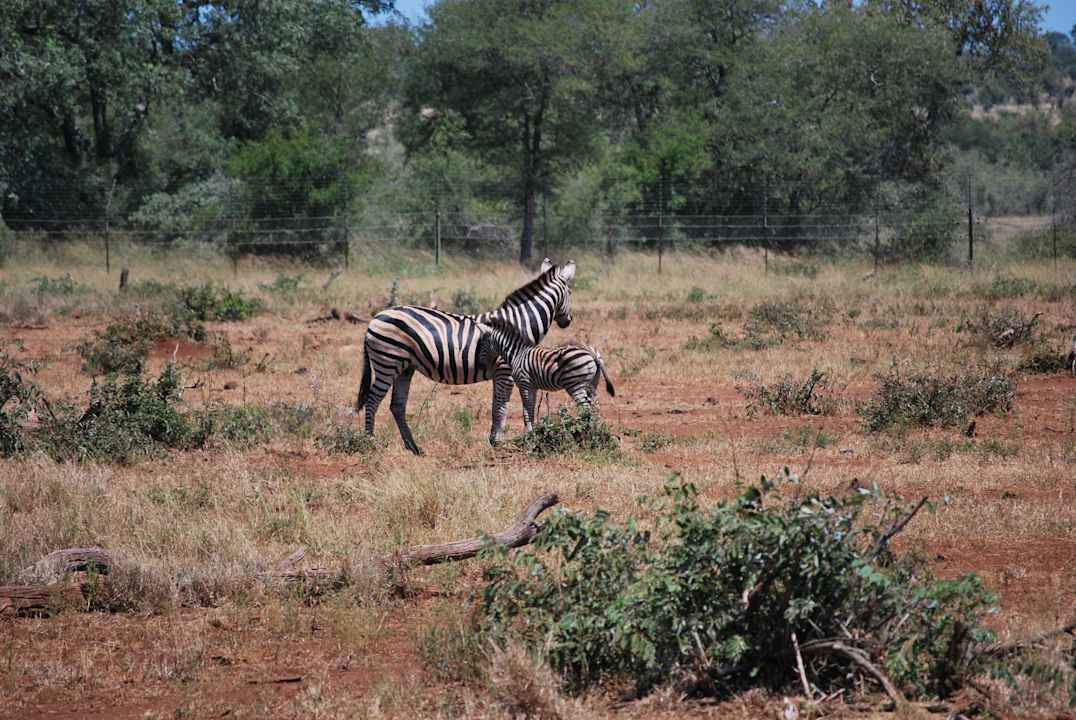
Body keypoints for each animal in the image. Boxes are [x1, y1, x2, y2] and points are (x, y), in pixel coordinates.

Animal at [357, 259, 576, 454]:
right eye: (571, 293)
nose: (568, 321)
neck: (519, 324)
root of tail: (375, 318)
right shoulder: (506, 370)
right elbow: (503, 406)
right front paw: (500, 441)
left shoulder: (502, 373)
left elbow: (497, 404)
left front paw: (494, 439)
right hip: (387, 361)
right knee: (372, 401)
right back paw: (371, 443)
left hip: (404, 367)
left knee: (397, 405)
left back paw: (414, 448)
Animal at [476, 315, 615, 434]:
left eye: (481, 344)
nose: (481, 366)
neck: (517, 354)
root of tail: (592, 354)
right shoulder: (532, 387)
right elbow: (530, 409)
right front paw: (532, 432)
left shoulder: (524, 383)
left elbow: (526, 410)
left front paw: (528, 434)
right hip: (592, 383)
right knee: (594, 407)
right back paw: (596, 432)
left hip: (575, 384)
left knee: (585, 407)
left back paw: (584, 430)